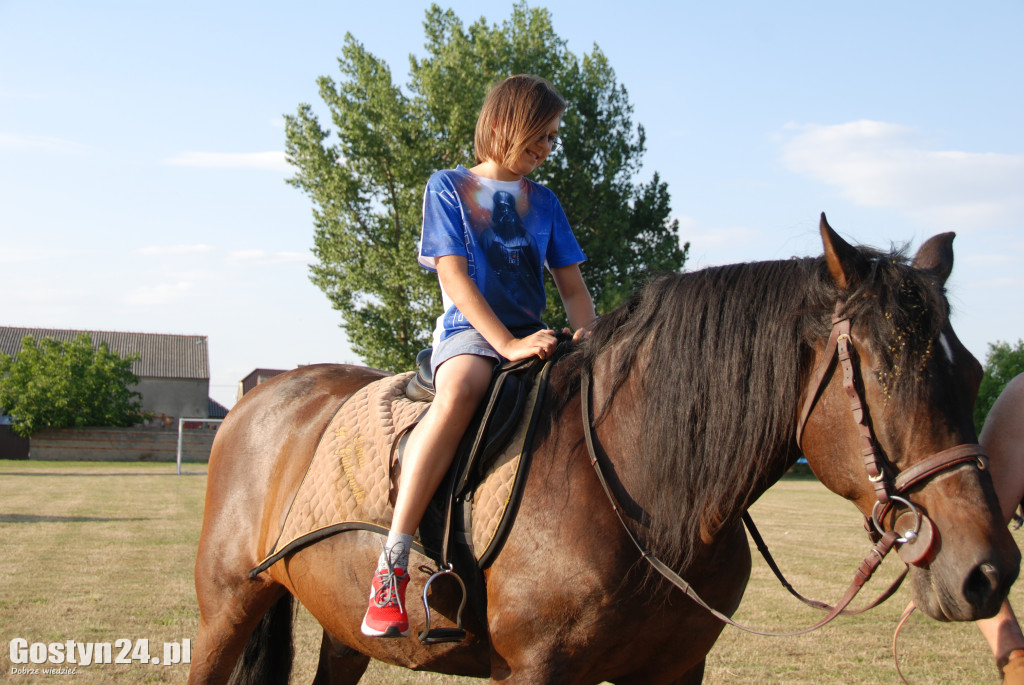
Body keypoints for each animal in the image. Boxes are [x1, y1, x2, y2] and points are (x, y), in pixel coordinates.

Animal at [190, 218, 1015, 683]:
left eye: (974, 372)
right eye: (884, 368)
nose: (988, 570)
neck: (648, 496)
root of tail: (266, 392)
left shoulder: (677, 670)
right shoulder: (538, 672)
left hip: (336, 627)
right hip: (226, 608)